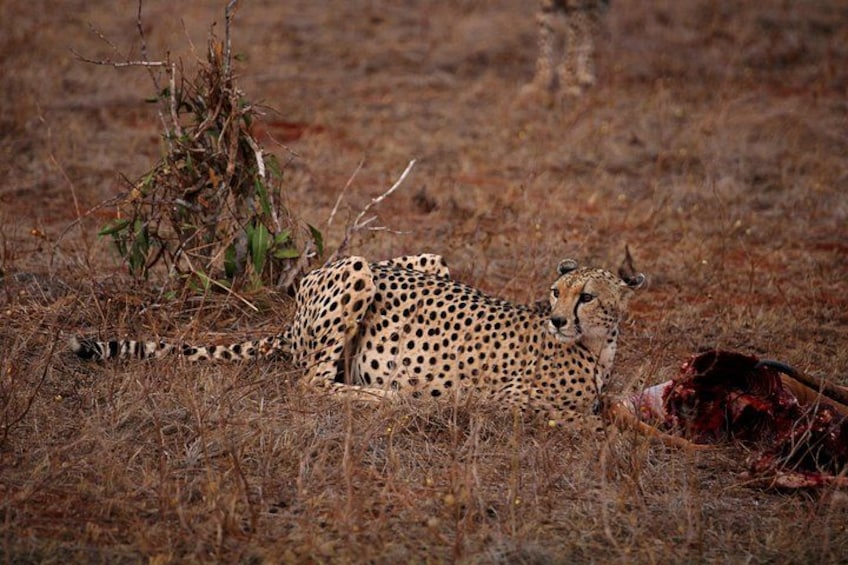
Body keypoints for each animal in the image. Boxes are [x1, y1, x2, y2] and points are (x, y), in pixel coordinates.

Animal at [71, 253, 645, 425]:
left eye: (586, 296)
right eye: (555, 292)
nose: (556, 320)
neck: (598, 347)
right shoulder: (510, 403)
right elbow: (592, 424)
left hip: (429, 260)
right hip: (358, 269)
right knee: (310, 384)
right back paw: (386, 396)